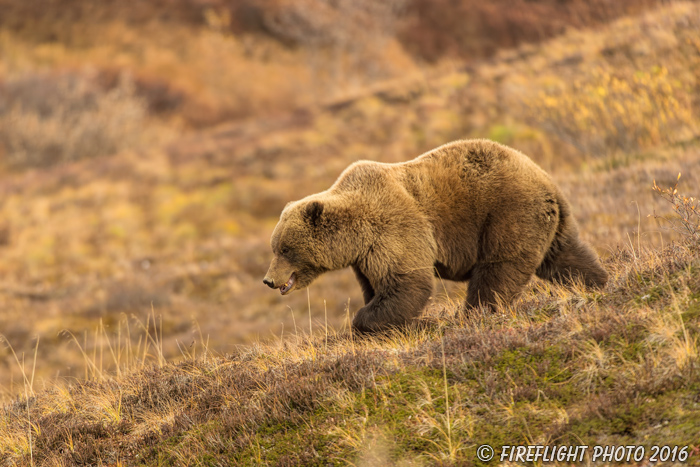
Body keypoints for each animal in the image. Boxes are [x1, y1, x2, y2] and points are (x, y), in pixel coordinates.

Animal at [262, 139, 608, 332]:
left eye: (285, 249)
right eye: (275, 247)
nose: (268, 280)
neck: (356, 235)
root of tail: (545, 177)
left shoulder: (393, 229)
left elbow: (408, 282)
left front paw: (367, 322)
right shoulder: (365, 258)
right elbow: (376, 287)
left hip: (508, 212)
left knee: (498, 269)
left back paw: (474, 313)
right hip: (550, 221)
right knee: (566, 257)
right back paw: (599, 282)